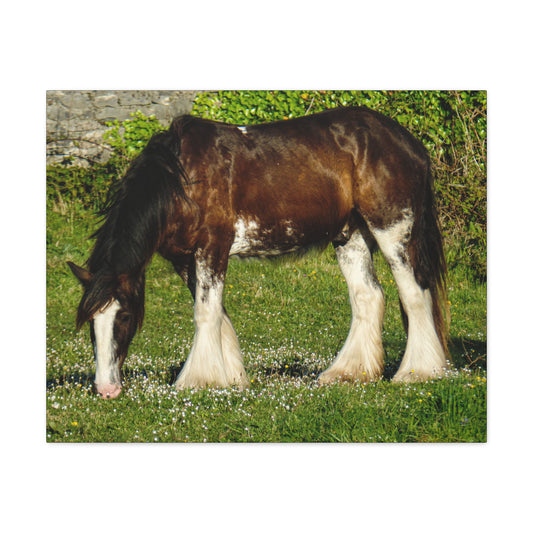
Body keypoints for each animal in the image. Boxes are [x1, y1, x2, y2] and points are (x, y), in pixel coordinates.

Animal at [67, 107, 448, 400]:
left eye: (124, 316)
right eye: (91, 323)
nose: (106, 389)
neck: (180, 179)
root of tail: (409, 143)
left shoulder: (212, 247)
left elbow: (205, 313)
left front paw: (197, 380)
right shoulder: (185, 259)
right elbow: (217, 314)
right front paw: (231, 377)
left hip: (391, 229)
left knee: (414, 295)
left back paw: (418, 372)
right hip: (350, 235)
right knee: (368, 296)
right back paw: (347, 372)